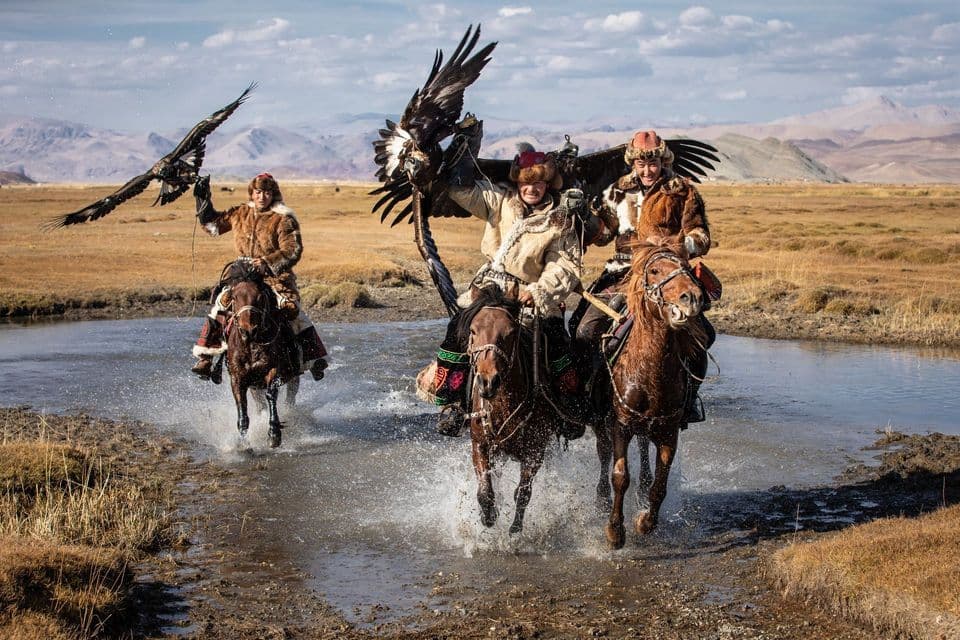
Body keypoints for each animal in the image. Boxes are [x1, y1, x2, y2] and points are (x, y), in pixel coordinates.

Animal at [219, 260, 301, 448]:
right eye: (234, 297)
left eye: (259, 297)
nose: (248, 330)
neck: (251, 346)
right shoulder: (238, 378)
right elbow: (242, 406)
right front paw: (243, 443)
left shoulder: (274, 370)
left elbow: (271, 395)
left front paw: (274, 434)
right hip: (254, 385)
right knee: (259, 403)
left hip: (293, 377)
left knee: (290, 397)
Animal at [460, 284, 559, 534]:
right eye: (473, 331)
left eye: (511, 332)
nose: (487, 382)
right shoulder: (481, 445)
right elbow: (485, 491)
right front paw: (488, 517)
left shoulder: (535, 451)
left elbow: (523, 492)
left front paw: (515, 527)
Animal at [591, 242, 707, 549]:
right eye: (654, 270)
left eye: (687, 267)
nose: (692, 298)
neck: (651, 373)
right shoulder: (620, 425)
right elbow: (619, 476)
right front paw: (615, 531)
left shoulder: (669, 432)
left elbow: (661, 485)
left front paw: (645, 522)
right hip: (603, 423)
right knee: (603, 454)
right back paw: (601, 499)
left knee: (644, 451)